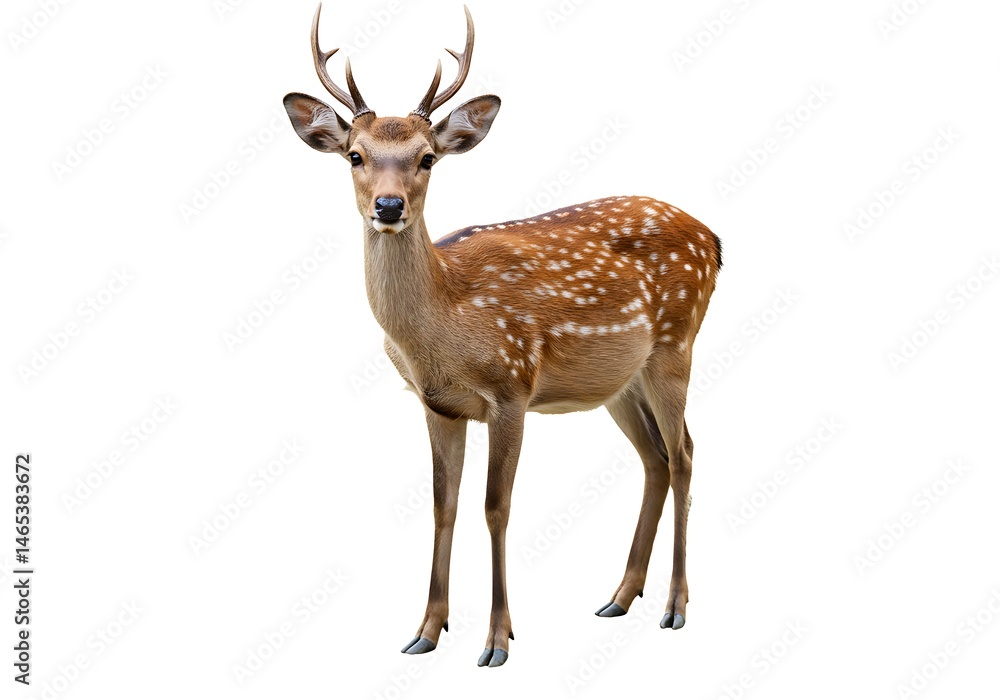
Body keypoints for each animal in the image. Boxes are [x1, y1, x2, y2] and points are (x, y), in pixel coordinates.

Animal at [283, 4, 722, 668]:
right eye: (354, 155)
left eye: (427, 158)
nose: (388, 206)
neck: (445, 324)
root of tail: (715, 241)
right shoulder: (439, 404)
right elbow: (443, 507)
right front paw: (426, 630)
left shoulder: (512, 387)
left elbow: (496, 507)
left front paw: (496, 640)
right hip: (620, 380)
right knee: (655, 457)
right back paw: (619, 596)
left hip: (677, 345)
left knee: (687, 454)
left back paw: (674, 606)